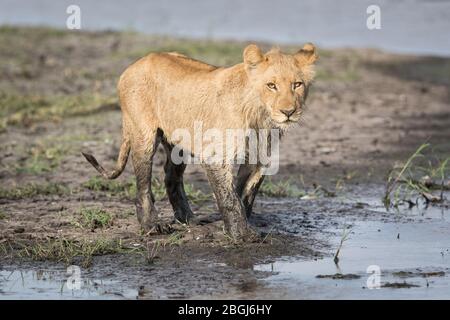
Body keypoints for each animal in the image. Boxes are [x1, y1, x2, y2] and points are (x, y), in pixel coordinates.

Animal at [82, 43, 318, 241]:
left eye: (297, 84)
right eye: (271, 85)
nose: (288, 112)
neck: (261, 116)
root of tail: (134, 65)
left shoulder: (259, 158)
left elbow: (245, 195)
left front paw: (237, 225)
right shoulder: (216, 156)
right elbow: (229, 198)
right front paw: (241, 235)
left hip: (178, 143)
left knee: (171, 176)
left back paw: (189, 219)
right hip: (143, 134)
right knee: (143, 184)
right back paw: (151, 225)